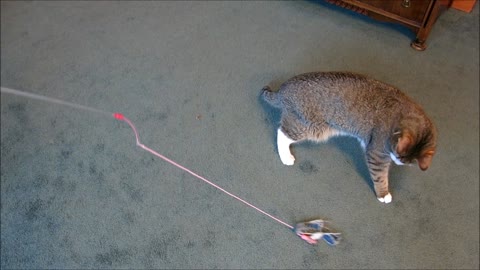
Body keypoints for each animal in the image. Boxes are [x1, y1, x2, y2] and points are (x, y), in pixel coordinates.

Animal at [262, 71, 438, 202]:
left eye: (405, 162)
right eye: (398, 154)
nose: (396, 161)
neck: (403, 115)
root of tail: (283, 89)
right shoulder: (377, 153)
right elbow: (380, 175)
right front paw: (383, 194)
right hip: (309, 126)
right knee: (282, 132)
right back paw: (286, 157)